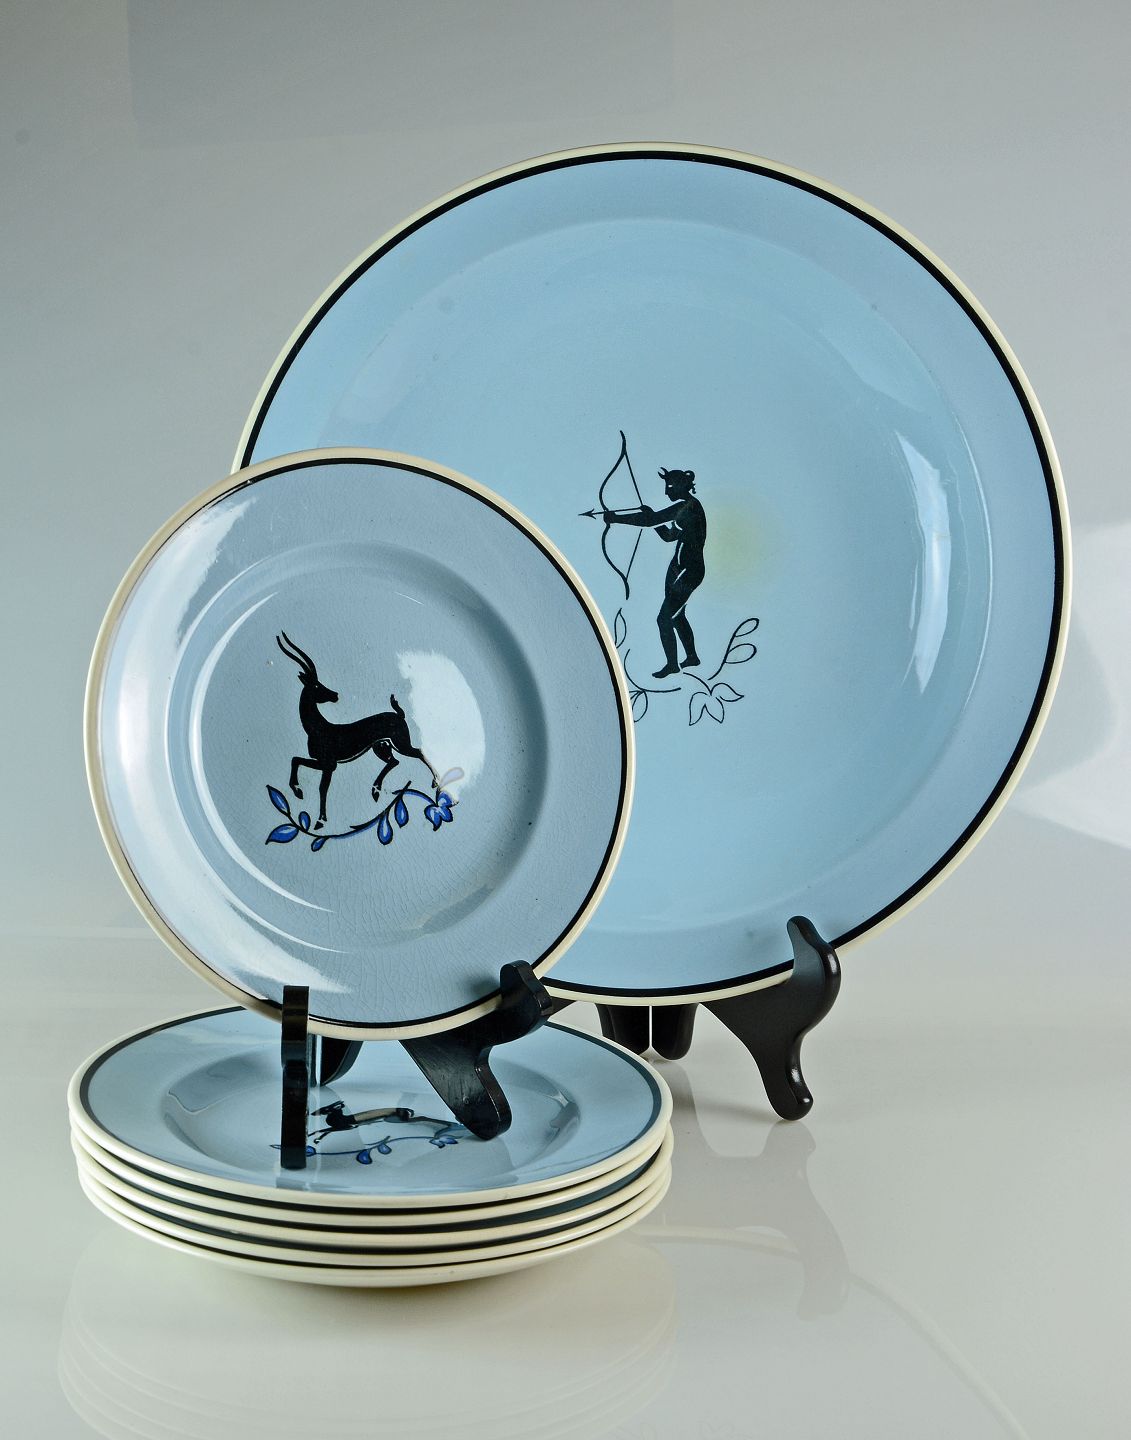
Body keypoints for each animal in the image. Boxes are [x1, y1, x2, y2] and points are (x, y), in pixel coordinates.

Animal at [275, 633, 441, 830]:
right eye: (316, 685)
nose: (335, 695)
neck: (317, 728)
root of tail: (399, 715)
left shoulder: (330, 764)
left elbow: (322, 788)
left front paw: (320, 820)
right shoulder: (322, 762)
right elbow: (296, 760)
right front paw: (298, 792)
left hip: (400, 743)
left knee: (419, 752)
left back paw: (435, 783)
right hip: (381, 747)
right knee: (394, 761)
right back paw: (375, 791)